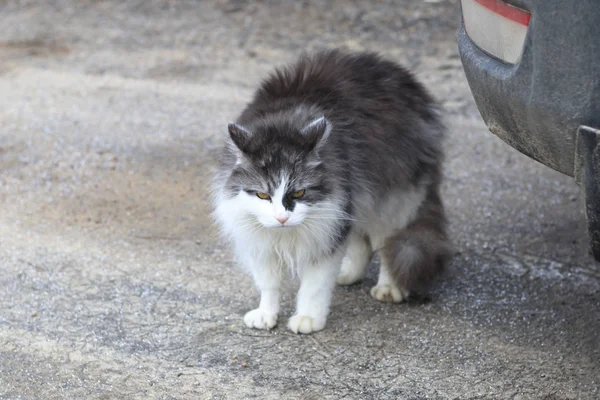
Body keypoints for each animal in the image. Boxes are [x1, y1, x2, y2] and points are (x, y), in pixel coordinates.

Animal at [211, 50, 450, 334]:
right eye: (262, 195)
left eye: (299, 193)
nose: (282, 218)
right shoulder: (262, 240)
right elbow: (268, 283)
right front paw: (267, 313)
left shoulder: (328, 230)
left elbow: (314, 286)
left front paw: (308, 318)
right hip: (356, 199)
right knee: (361, 242)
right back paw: (348, 274)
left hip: (389, 201)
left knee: (386, 245)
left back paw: (389, 287)